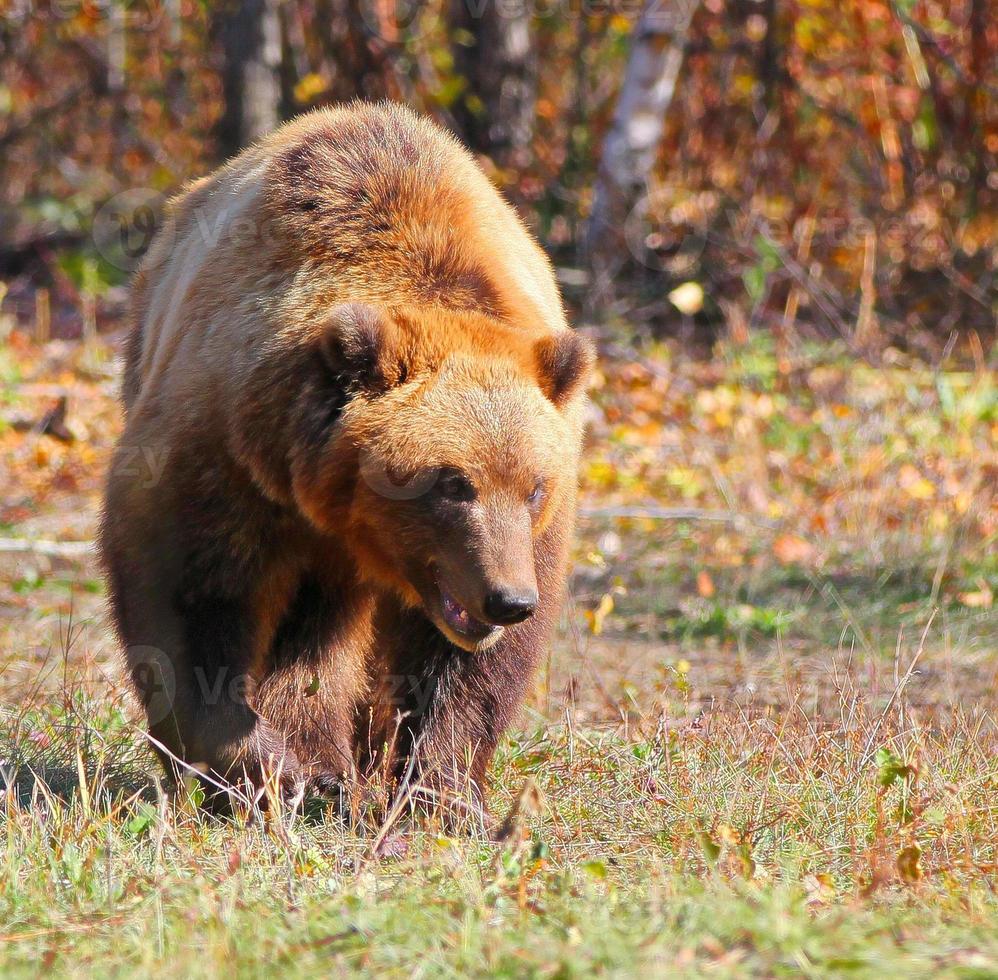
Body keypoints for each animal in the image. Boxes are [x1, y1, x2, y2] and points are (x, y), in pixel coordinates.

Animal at [99, 101, 592, 820]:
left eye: (533, 487)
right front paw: (264, 768)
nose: (507, 600)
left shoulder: (532, 536)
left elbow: (470, 673)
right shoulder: (225, 452)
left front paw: (441, 790)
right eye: (453, 484)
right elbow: (189, 598)